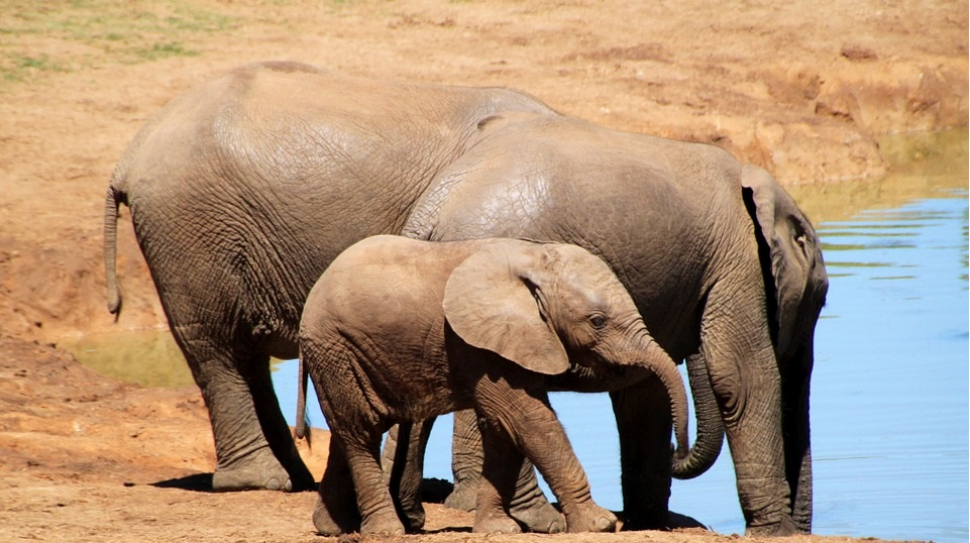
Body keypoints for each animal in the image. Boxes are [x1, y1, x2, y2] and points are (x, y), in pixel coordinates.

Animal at [294, 236, 688, 536]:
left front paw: (498, 530)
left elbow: (504, 429)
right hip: (334, 348)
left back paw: (334, 528)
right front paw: (599, 525)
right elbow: (527, 420)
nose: (676, 455)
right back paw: (387, 531)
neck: (534, 258)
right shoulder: (477, 344)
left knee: (348, 432)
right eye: (597, 321)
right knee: (360, 432)